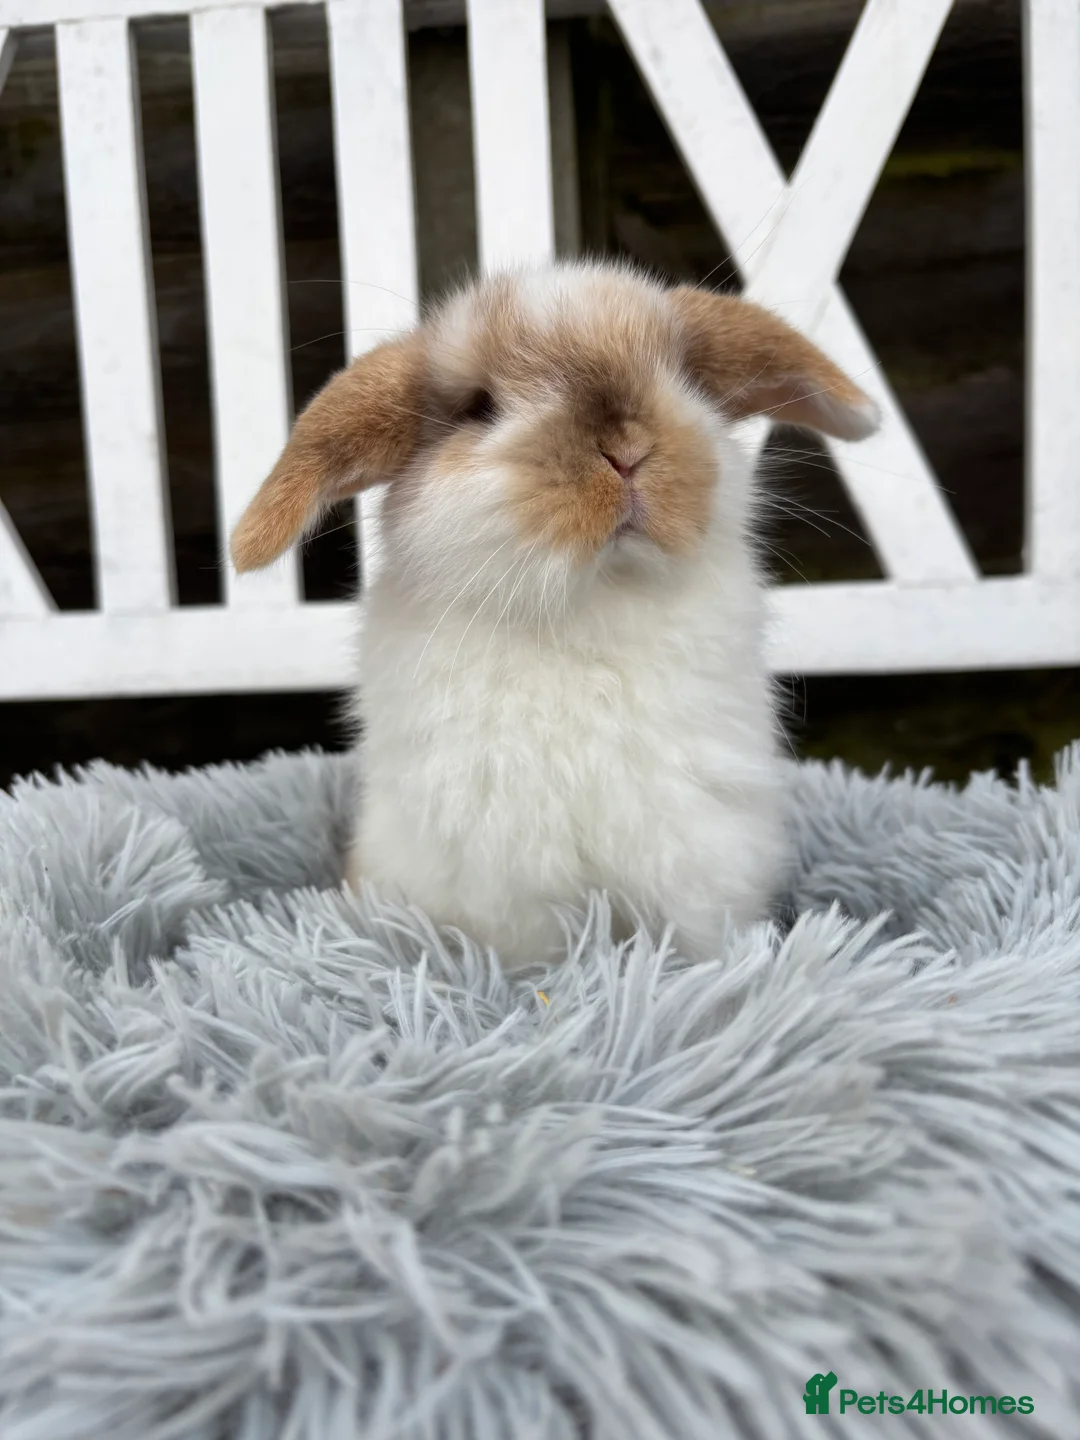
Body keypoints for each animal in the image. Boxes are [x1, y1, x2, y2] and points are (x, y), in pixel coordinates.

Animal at [231, 261, 879, 971]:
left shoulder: (696, 852)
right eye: (479, 406)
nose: (626, 450)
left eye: (683, 377)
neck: (592, 601)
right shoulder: (508, 868)